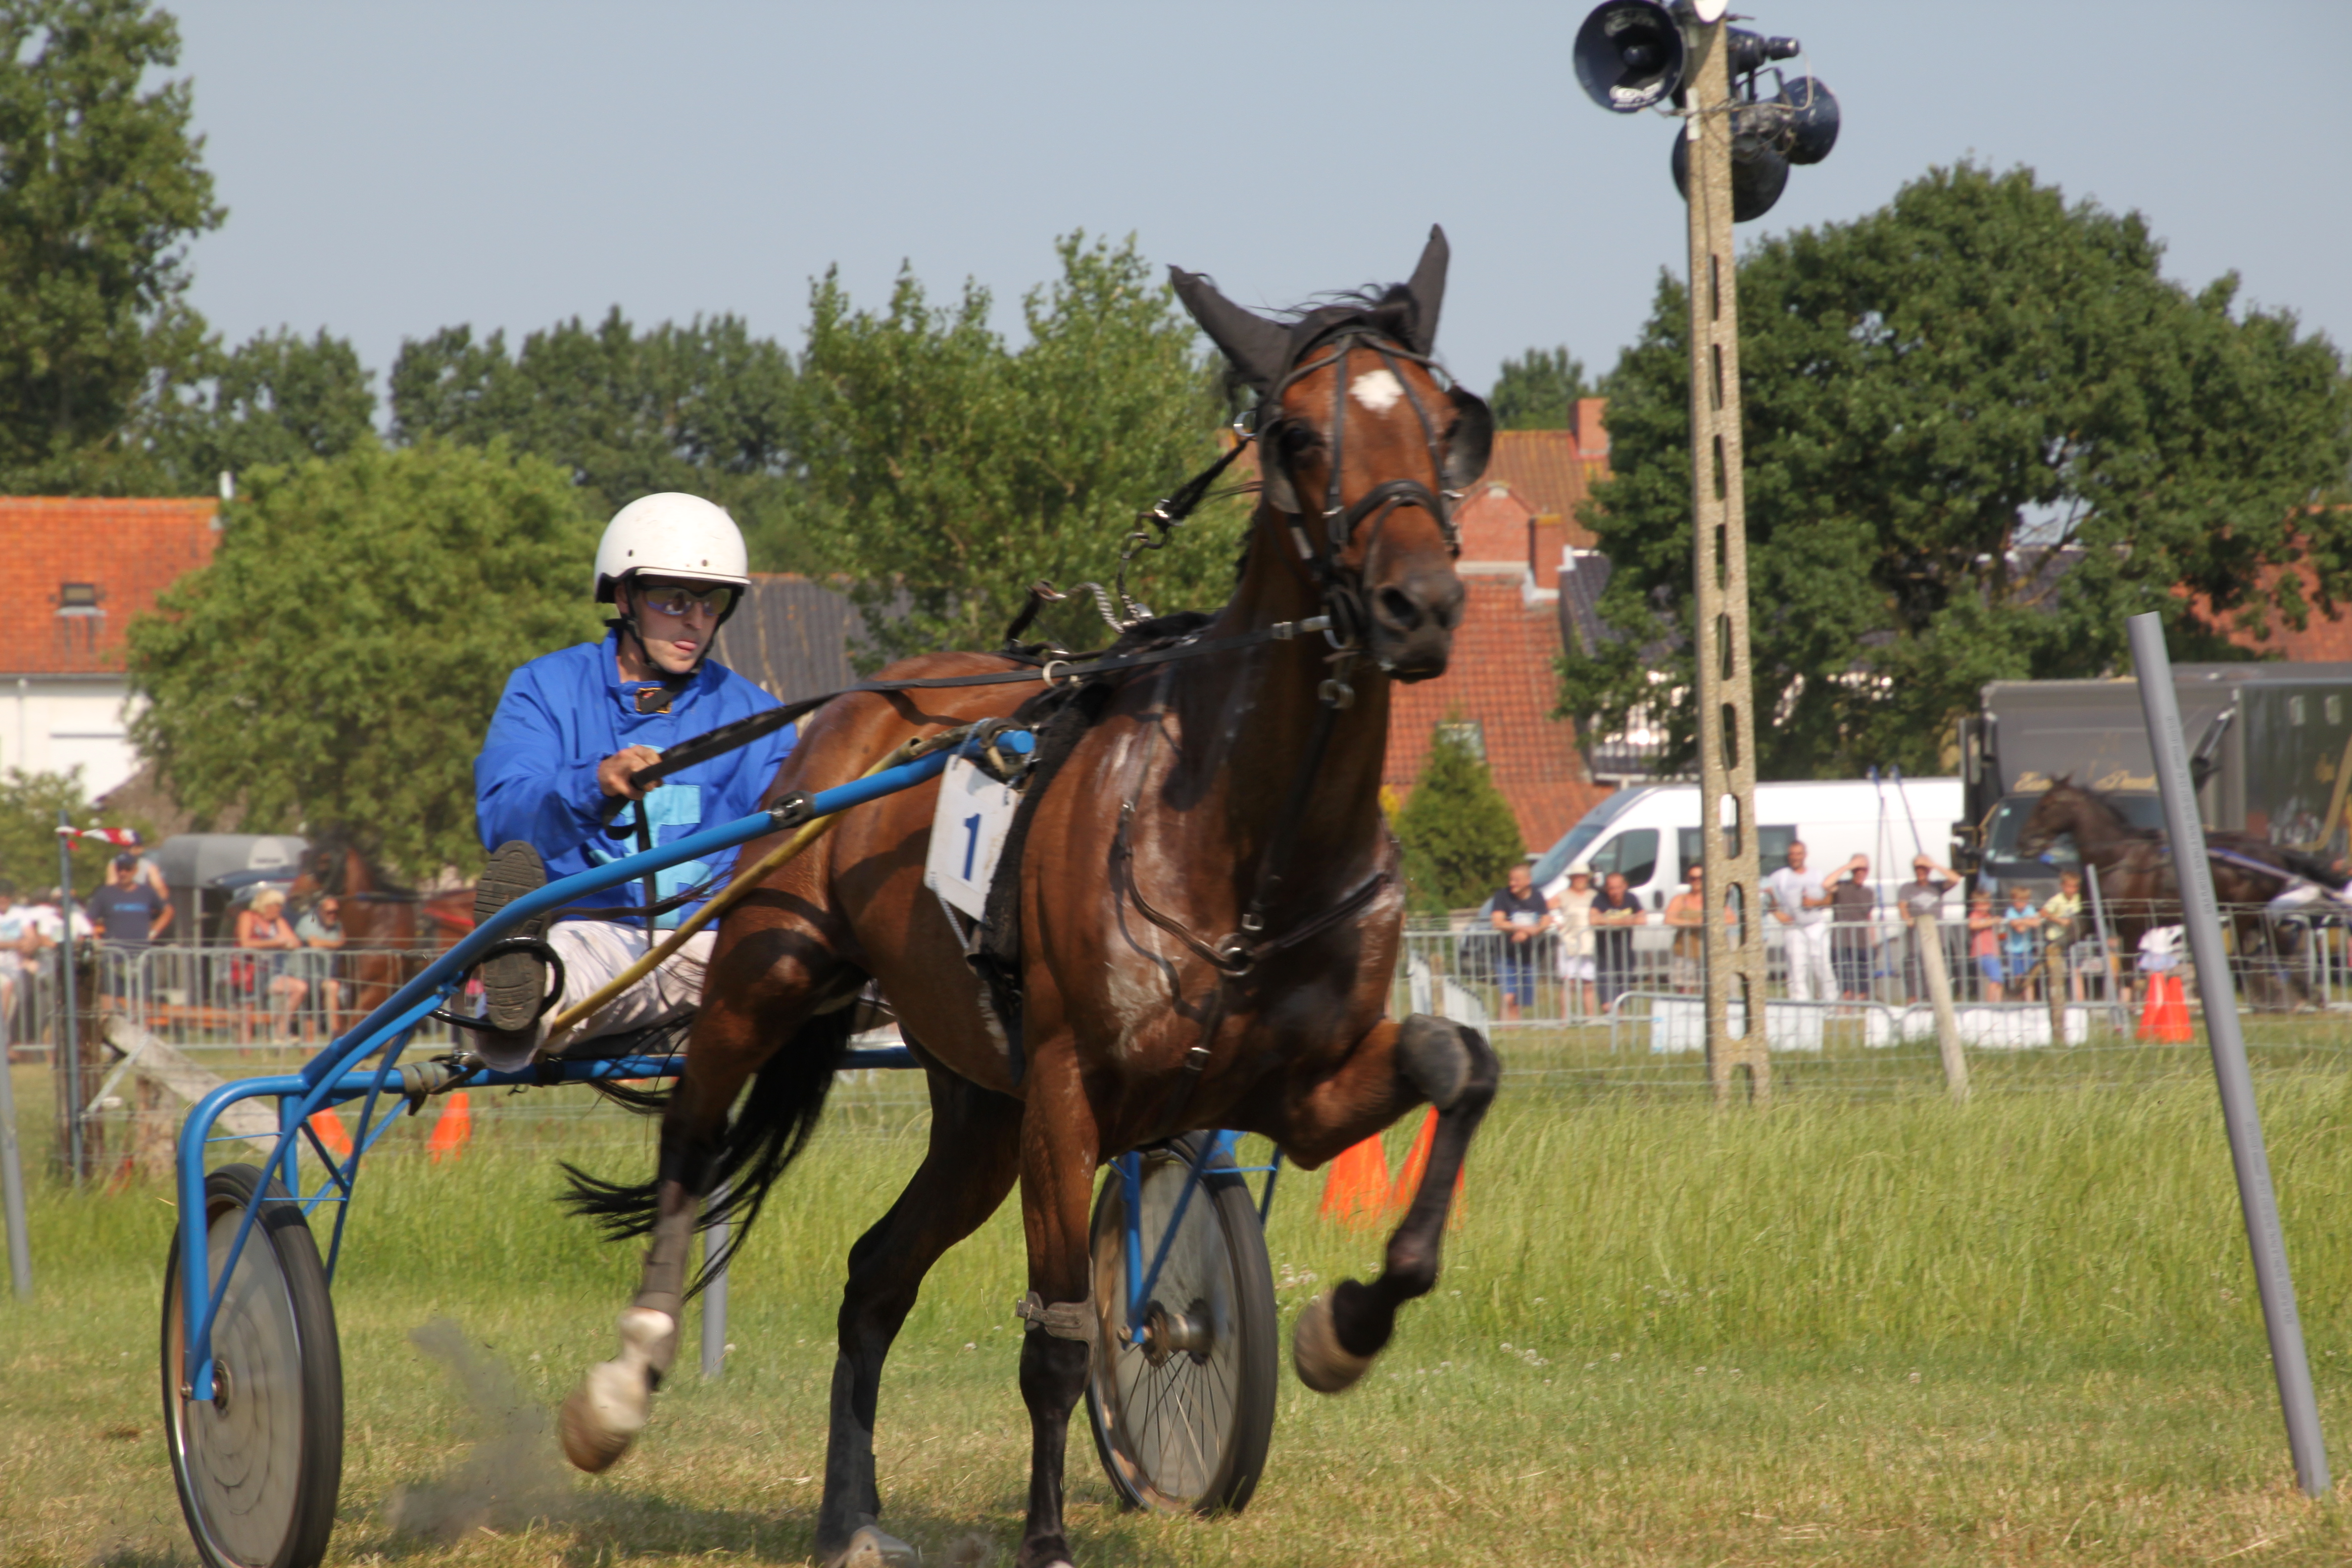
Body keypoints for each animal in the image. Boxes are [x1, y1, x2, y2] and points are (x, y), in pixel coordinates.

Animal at [555, 228, 1497, 1568]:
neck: (1247, 845)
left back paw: (848, 1517)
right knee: (693, 1128)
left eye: (1448, 422)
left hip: (977, 1111)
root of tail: (859, 705)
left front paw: (1348, 1323)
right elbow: (1059, 1339)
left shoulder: (1298, 1093)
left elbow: (1457, 1065)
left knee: (874, 1272)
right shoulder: (1064, 1091)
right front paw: (1047, 1538)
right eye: (1294, 434)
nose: (1417, 606)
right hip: (774, 969)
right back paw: (624, 1380)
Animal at [2014, 777, 2344, 1011]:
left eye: (2046, 805)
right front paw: (2020, 984)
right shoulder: (2091, 918)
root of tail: (2273, 852)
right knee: (2279, 946)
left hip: (2242, 913)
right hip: (2258, 914)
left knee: (2240, 957)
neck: (2117, 858)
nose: (2025, 841)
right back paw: (2307, 995)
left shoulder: (2133, 925)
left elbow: (2128, 972)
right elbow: (2052, 946)